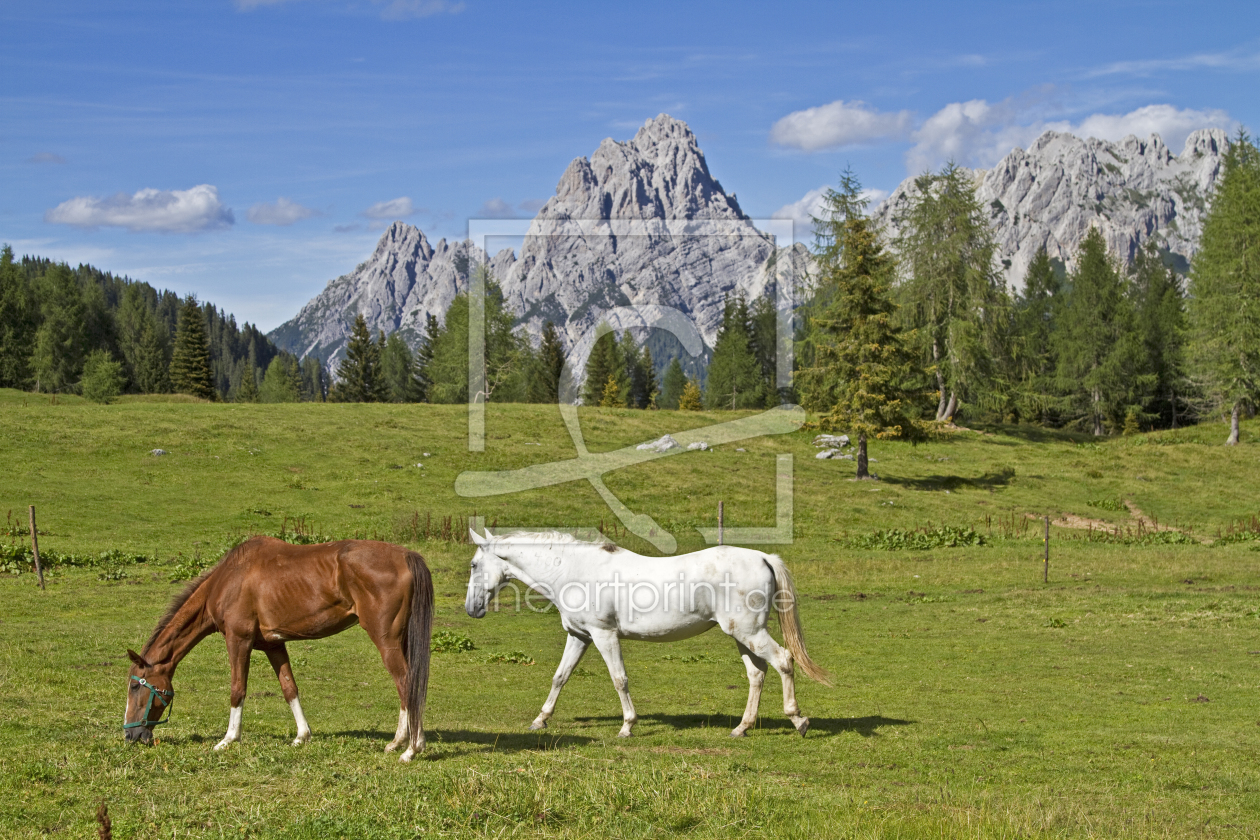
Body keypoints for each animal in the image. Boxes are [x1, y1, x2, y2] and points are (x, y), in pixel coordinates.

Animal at [124, 539, 433, 760]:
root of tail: (407, 556)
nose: (130, 736)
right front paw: (302, 736)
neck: (229, 579)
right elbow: (289, 688)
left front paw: (228, 739)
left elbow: (237, 689)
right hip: (401, 640)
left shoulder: (238, 640)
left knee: (406, 682)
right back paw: (397, 742)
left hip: (386, 640)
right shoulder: (273, 644)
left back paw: (412, 748)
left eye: (135, 686)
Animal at [463, 531, 826, 735]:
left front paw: (627, 726)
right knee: (757, 674)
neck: (574, 570)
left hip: (751, 633)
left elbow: (619, 679)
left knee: (784, 661)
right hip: (743, 635)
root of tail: (764, 557)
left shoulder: (604, 635)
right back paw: (742, 728)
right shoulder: (579, 636)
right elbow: (559, 677)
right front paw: (540, 721)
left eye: (473, 565)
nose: (471, 609)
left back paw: (798, 721)